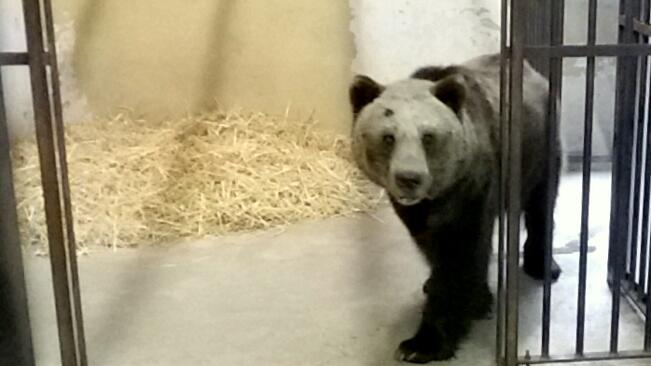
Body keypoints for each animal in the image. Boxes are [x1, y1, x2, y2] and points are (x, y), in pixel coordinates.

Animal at [348, 52, 564, 364]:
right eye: (388, 137)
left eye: (428, 136)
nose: (409, 179)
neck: (437, 194)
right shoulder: (416, 212)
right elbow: (431, 246)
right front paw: (467, 296)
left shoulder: (472, 187)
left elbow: (460, 254)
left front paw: (422, 342)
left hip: (539, 148)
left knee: (541, 203)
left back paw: (543, 265)